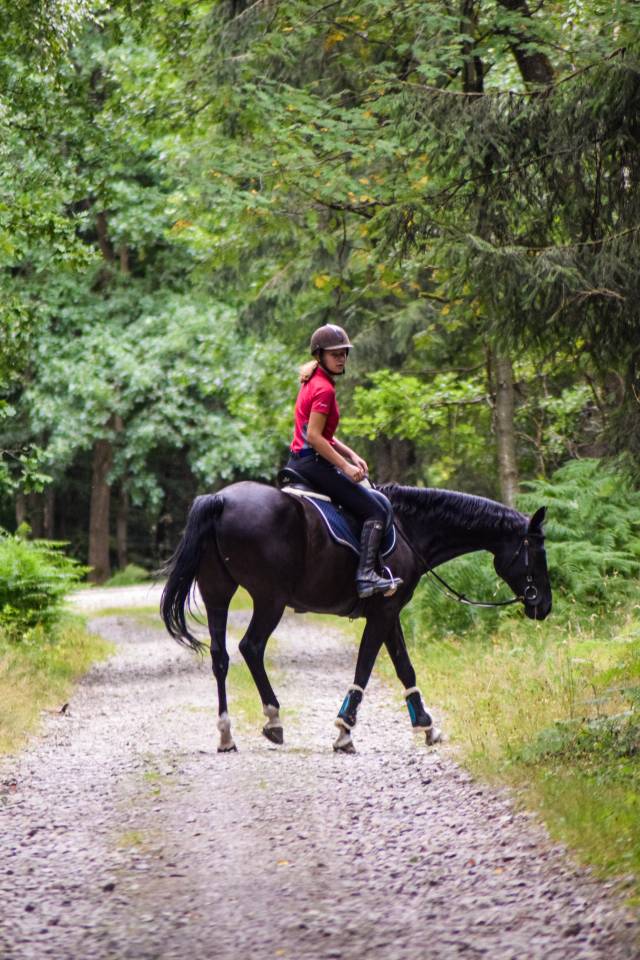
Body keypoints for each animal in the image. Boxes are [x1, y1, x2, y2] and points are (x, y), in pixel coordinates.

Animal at [160, 482, 551, 753]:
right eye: (538, 552)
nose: (544, 606)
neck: (411, 529)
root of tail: (221, 500)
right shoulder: (382, 613)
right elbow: (365, 666)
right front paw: (344, 731)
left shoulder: (390, 612)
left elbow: (405, 668)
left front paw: (426, 726)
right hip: (270, 599)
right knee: (251, 647)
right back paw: (273, 721)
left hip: (217, 594)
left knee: (220, 656)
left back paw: (226, 734)